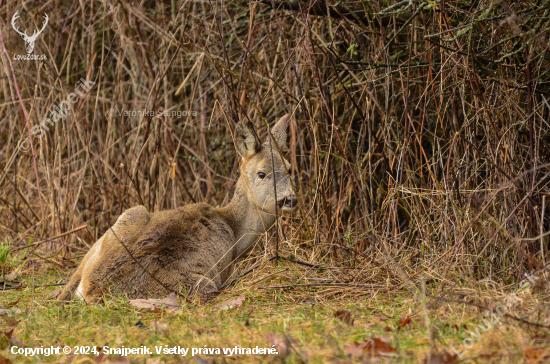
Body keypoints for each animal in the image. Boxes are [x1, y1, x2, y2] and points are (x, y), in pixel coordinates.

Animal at [58, 116, 300, 302]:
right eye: (262, 173)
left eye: (289, 169)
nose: (291, 199)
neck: (234, 229)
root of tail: (91, 291)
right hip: (199, 285)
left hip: (131, 214)